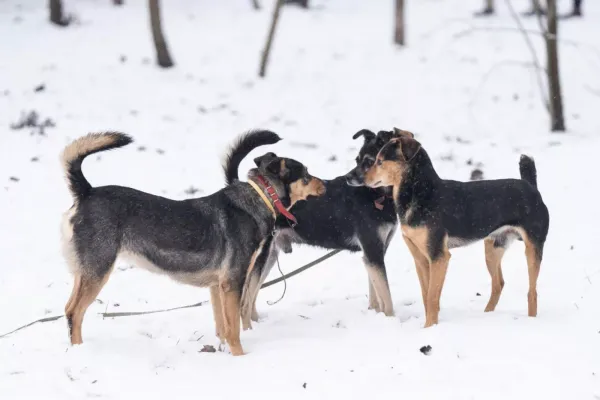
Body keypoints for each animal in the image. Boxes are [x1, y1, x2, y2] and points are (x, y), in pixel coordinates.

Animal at [60, 130, 324, 354]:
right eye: (306, 175)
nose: (325, 185)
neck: (259, 199)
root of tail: (86, 192)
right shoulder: (233, 284)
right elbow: (234, 330)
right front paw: (240, 357)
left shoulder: (217, 287)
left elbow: (223, 328)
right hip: (98, 270)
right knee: (74, 312)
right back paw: (80, 351)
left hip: (84, 272)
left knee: (69, 309)